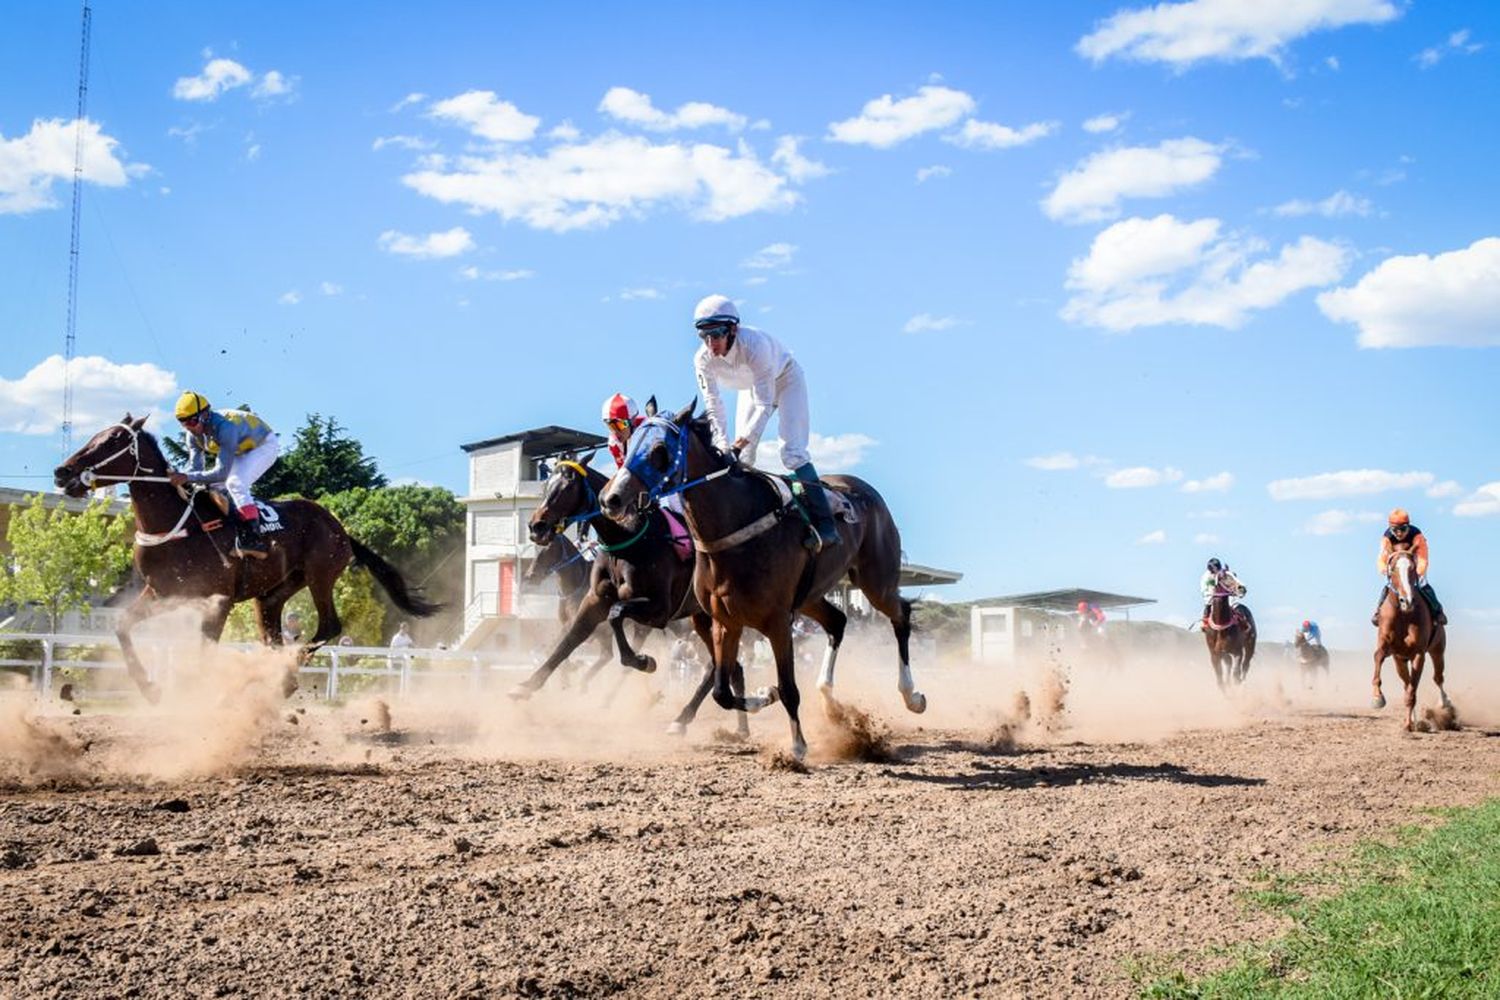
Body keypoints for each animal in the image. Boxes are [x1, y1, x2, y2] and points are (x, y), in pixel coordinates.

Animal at [57, 413, 438, 704]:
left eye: (114, 440)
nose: (63, 472)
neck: (177, 525)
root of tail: (339, 527)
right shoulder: (162, 593)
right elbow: (122, 626)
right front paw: (150, 688)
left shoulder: (219, 599)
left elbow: (203, 650)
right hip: (272, 593)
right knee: (273, 635)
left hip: (320, 574)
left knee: (328, 626)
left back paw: (283, 678)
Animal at [600, 401, 924, 761]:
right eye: (629, 445)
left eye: (660, 449)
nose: (612, 498)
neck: (733, 528)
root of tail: (864, 491)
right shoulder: (725, 621)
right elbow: (722, 692)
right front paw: (763, 696)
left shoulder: (778, 621)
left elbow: (788, 688)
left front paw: (797, 745)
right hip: (811, 596)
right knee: (838, 621)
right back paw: (830, 703)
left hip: (876, 580)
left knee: (901, 615)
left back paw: (911, 695)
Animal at [1374, 542, 1452, 731]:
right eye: (1393, 568)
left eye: (1412, 568)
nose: (1407, 601)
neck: (1404, 615)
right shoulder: (1390, 649)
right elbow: (1378, 656)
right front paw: (1377, 698)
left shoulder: (1418, 653)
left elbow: (1412, 692)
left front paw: (1409, 725)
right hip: (1401, 660)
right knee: (1407, 683)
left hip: (1438, 649)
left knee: (1437, 678)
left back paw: (1444, 704)